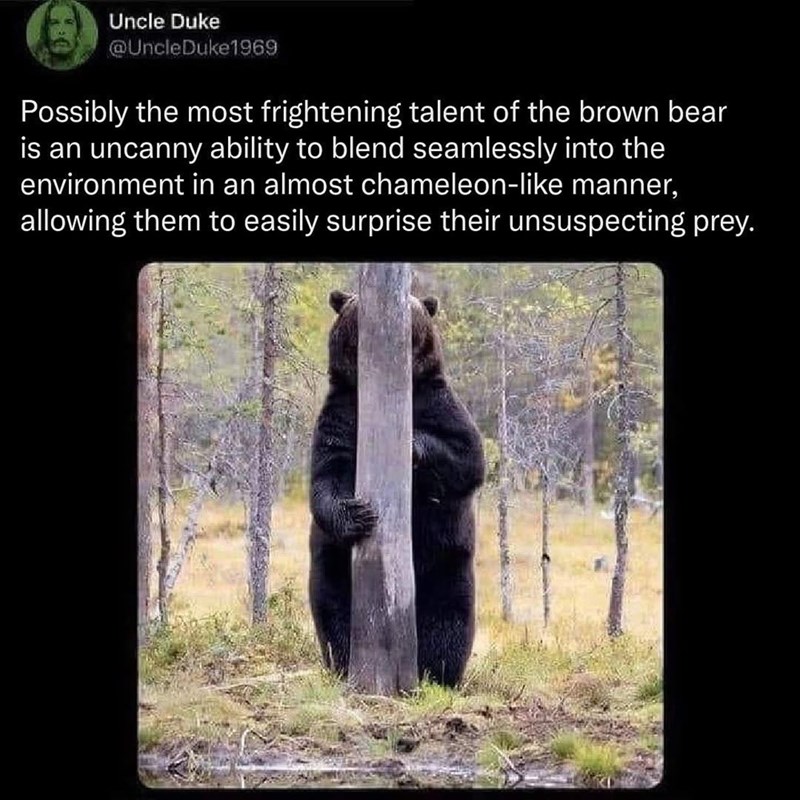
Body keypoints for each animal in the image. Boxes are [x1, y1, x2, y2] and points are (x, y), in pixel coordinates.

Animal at [308, 289, 485, 688]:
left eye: (413, 306)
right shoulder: (341, 414)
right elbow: (326, 475)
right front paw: (358, 514)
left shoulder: (438, 403)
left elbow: (466, 455)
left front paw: (412, 445)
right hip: (334, 568)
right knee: (334, 612)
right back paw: (345, 663)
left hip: (447, 565)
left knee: (449, 618)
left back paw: (439, 673)